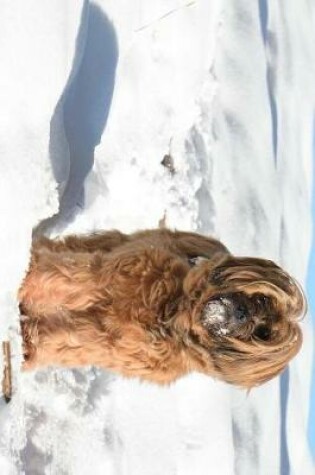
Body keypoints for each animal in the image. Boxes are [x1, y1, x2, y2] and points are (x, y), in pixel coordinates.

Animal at [17, 229, 306, 388]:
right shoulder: (101, 279)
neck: (171, 313)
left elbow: (59, 342)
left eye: (263, 333)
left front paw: (28, 347)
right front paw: (26, 281)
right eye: (262, 299)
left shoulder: (99, 341)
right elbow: (61, 279)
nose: (241, 313)